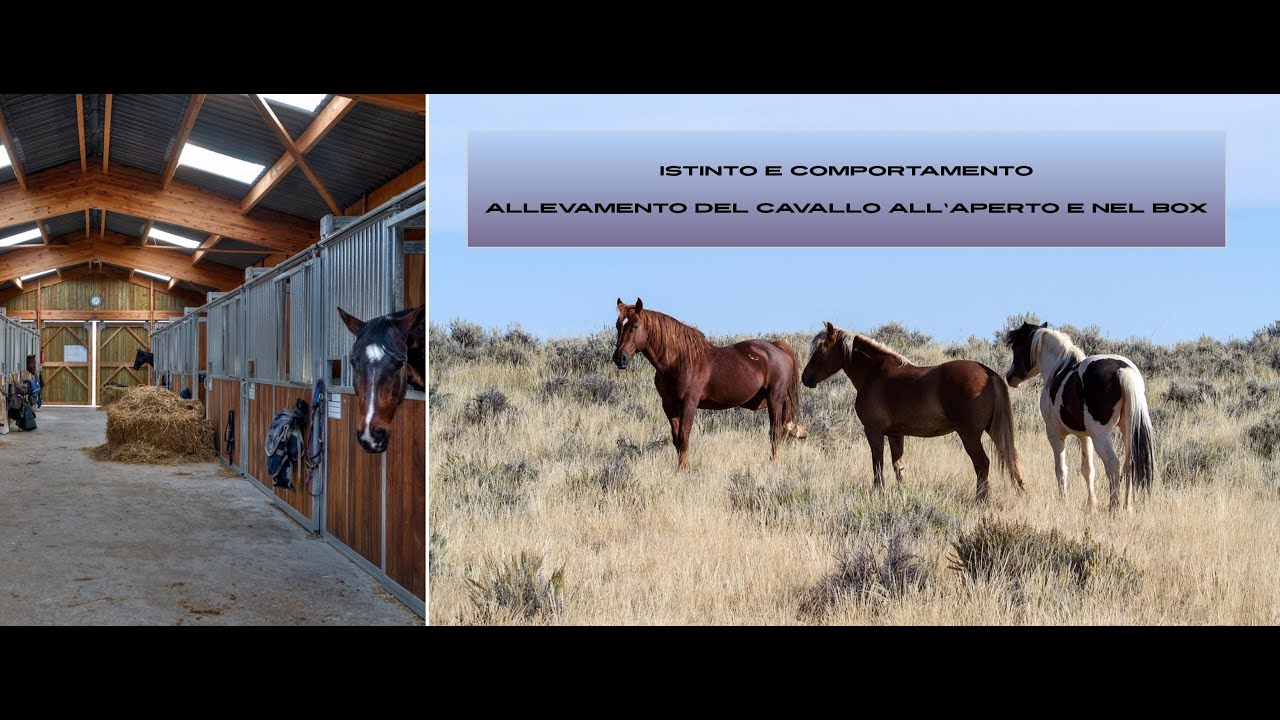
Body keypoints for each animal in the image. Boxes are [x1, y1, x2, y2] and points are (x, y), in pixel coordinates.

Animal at [612, 298, 806, 472]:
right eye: (618, 326)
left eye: (635, 326)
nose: (620, 358)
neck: (678, 361)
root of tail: (778, 347)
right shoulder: (669, 405)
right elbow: (676, 439)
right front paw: (680, 468)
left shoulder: (689, 403)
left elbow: (684, 437)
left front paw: (684, 470)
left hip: (775, 400)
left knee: (775, 432)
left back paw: (773, 464)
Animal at [802, 322, 1024, 502]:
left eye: (820, 350)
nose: (805, 378)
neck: (874, 374)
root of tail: (989, 373)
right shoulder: (895, 434)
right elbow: (898, 465)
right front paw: (902, 493)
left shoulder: (873, 431)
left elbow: (877, 463)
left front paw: (878, 492)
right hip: (992, 430)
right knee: (1011, 458)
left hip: (969, 434)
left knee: (982, 463)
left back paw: (980, 500)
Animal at [1003, 322, 1155, 512]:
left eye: (1016, 347)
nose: (1009, 377)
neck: (1057, 370)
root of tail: (1122, 370)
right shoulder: (1085, 436)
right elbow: (1088, 470)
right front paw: (1092, 503)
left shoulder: (1055, 434)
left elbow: (1061, 469)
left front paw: (1063, 500)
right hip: (1127, 430)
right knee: (1129, 464)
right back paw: (1127, 507)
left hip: (1101, 436)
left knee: (1113, 464)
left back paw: (1113, 506)